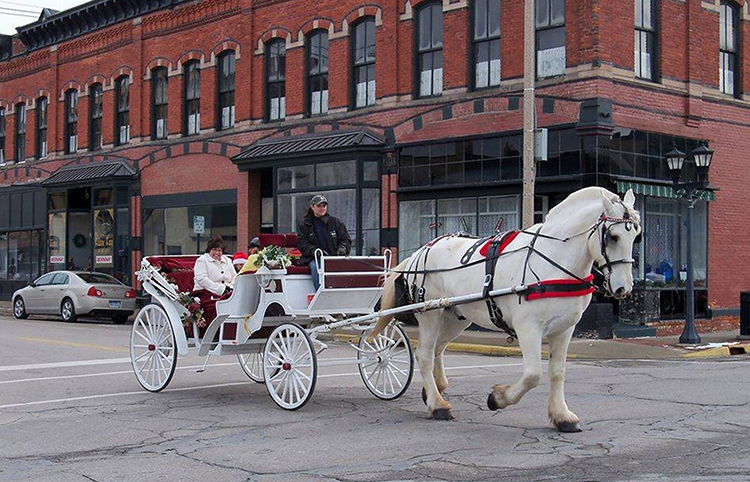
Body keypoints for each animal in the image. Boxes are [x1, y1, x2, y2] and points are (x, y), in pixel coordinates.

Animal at [370, 186, 640, 432]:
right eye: (613, 237)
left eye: (636, 235)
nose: (623, 288)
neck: (553, 260)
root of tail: (422, 250)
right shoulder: (527, 326)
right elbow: (533, 374)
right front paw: (497, 398)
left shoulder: (565, 329)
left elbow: (557, 372)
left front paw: (562, 416)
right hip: (430, 313)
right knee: (425, 354)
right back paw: (438, 406)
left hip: (456, 317)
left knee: (437, 349)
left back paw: (432, 391)